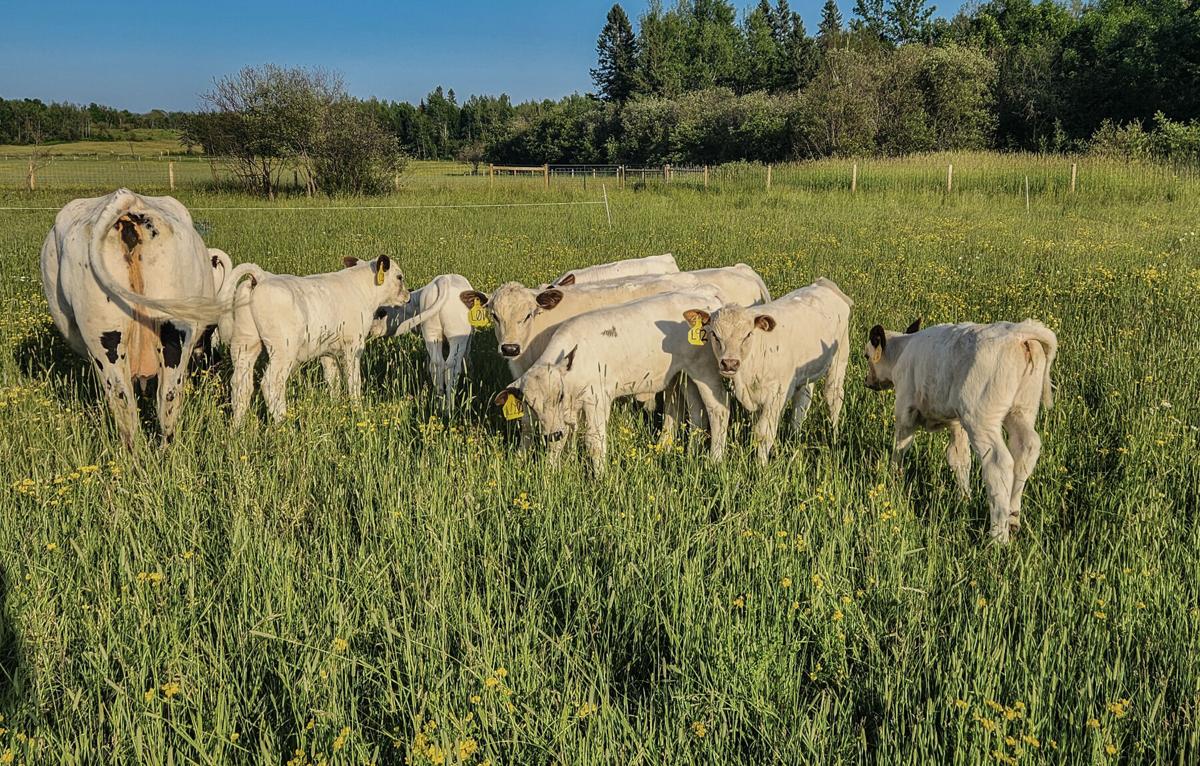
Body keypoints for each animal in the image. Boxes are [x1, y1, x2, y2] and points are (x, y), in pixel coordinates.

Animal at [226, 255, 411, 424]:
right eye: (399, 277)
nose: (408, 296)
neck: (362, 290)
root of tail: (262, 276)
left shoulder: (327, 352)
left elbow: (333, 381)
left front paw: (336, 407)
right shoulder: (353, 346)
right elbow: (353, 381)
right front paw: (358, 410)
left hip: (244, 344)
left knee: (240, 385)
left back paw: (237, 428)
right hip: (283, 351)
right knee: (271, 383)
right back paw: (283, 425)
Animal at [370, 273, 478, 403]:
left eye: (381, 312)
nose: (370, 330)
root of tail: (443, 280)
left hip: (432, 334)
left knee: (436, 364)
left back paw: (439, 400)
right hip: (456, 337)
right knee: (451, 366)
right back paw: (448, 405)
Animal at [494, 288, 730, 474]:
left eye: (559, 395)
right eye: (530, 404)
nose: (554, 433)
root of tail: (708, 297)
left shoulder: (596, 399)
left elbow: (594, 440)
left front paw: (601, 478)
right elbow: (561, 440)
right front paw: (552, 472)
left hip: (706, 371)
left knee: (718, 411)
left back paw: (715, 460)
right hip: (685, 375)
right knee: (697, 412)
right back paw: (691, 453)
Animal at [687, 278, 852, 465]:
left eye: (748, 334)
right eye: (715, 335)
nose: (729, 363)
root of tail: (823, 284)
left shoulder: (776, 395)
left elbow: (763, 432)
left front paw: (761, 466)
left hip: (839, 360)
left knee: (833, 397)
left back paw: (834, 434)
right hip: (806, 371)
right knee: (802, 401)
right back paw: (794, 435)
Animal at [863, 318, 1058, 544]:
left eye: (867, 356)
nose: (867, 381)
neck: (902, 350)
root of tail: (1017, 332)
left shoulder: (905, 409)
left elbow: (900, 447)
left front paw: (894, 479)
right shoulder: (957, 423)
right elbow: (959, 458)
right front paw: (964, 498)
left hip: (980, 419)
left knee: (999, 463)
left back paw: (998, 538)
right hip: (1021, 411)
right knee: (1026, 449)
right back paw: (1013, 519)